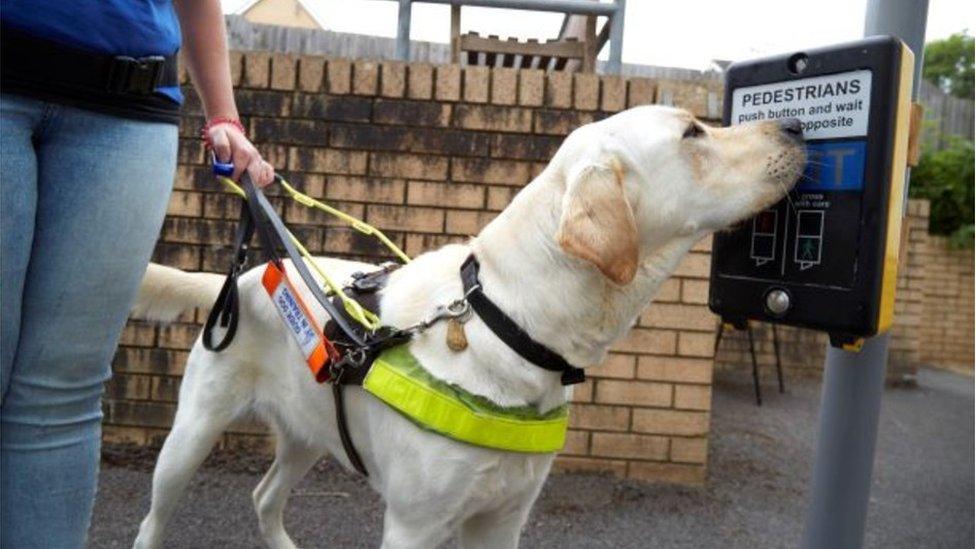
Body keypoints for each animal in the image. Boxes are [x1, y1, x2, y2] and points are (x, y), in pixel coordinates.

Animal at [130, 105, 804, 544]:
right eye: (693, 132)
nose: (797, 126)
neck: (504, 323)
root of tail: (251, 272)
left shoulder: (503, 518)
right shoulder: (415, 525)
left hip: (309, 430)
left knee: (265, 496)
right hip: (191, 435)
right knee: (154, 519)